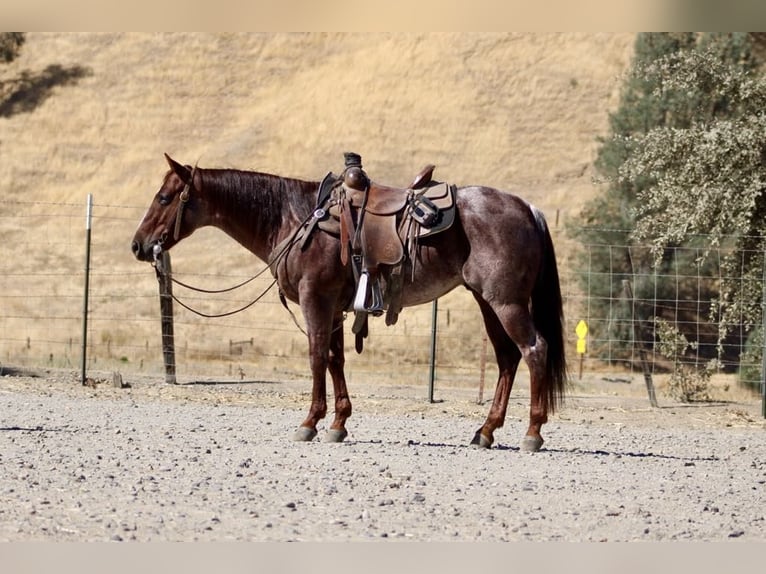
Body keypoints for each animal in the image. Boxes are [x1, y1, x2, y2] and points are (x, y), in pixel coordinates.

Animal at [132, 154, 568, 454]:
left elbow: (315, 357)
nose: (138, 245)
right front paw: (338, 422)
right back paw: (485, 431)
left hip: (506, 302)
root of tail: (527, 208)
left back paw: (532, 432)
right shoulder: (337, 308)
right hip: (487, 302)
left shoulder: (315, 301)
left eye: (165, 197)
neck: (296, 219)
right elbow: (335, 359)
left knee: (534, 350)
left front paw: (310, 421)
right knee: (507, 358)